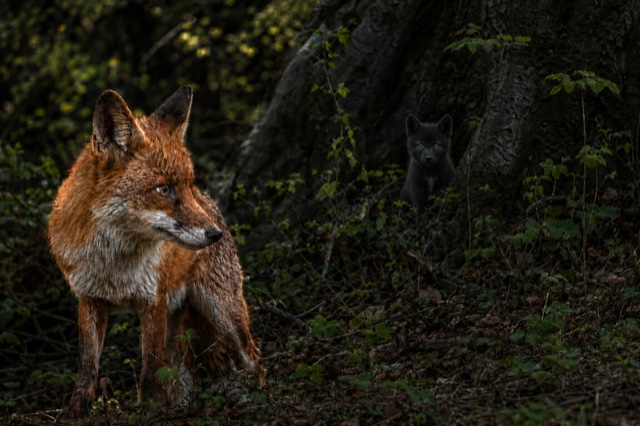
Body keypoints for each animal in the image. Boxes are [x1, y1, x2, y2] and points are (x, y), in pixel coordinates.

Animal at [48, 86, 264, 415]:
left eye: (186, 186)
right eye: (165, 189)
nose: (214, 234)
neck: (114, 263)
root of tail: (211, 202)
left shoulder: (153, 300)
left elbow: (150, 368)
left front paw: (151, 410)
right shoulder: (89, 300)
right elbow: (87, 366)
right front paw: (77, 409)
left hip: (224, 311)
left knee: (254, 358)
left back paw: (262, 395)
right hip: (184, 332)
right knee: (188, 375)